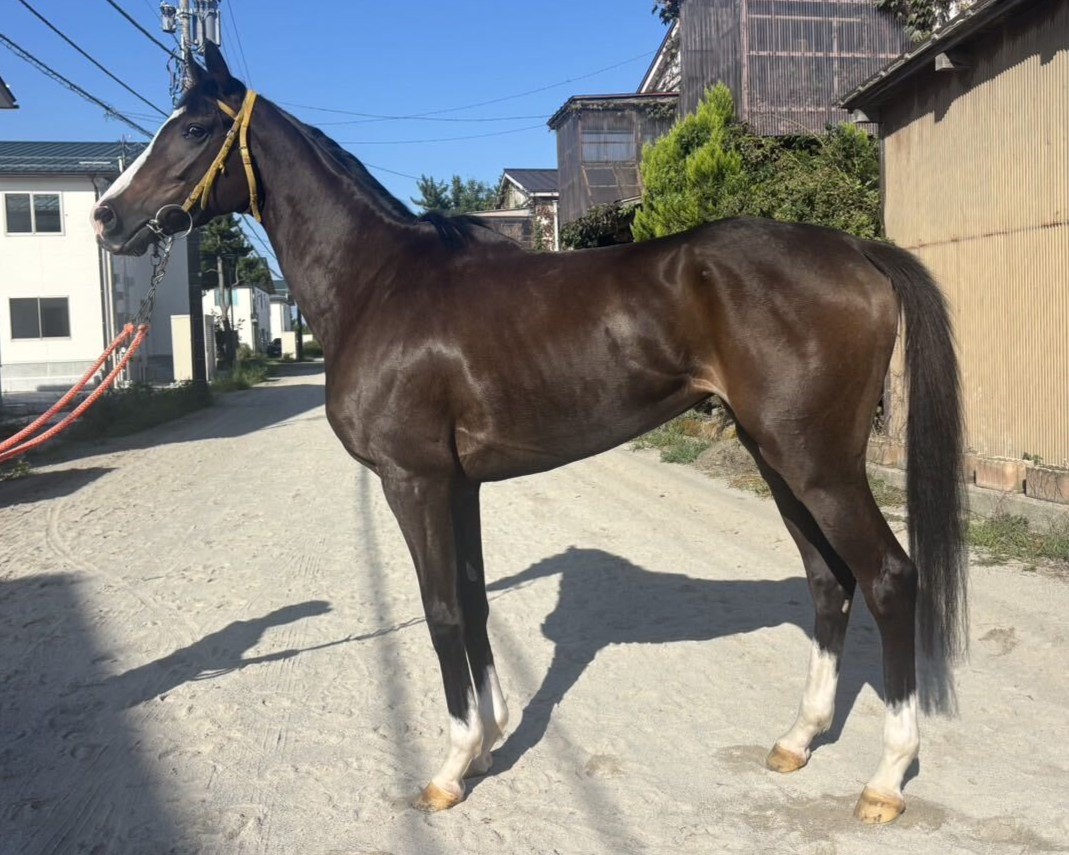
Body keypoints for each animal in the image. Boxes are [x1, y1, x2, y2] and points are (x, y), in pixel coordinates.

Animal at [92, 43, 966, 823]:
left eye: (194, 128)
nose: (107, 217)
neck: (380, 282)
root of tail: (854, 248)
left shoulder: (413, 480)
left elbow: (442, 609)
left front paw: (450, 767)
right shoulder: (460, 484)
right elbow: (475, 600)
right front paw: (490, 738)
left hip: (816, 461)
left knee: (888, 577)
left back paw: (885, 779)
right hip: (776, 456)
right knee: (827, 581)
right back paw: (797, 738)